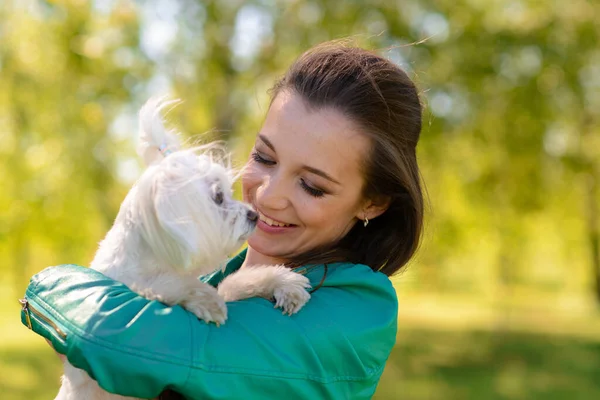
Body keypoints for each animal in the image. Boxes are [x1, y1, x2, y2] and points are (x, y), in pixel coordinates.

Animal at [54, 99, 312, 400]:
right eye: (218, 197)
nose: (254, 215)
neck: (159, 261)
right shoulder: (141, 285)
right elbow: (171, 285)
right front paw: (207, 301)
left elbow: (237, 282)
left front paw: (284, 283)